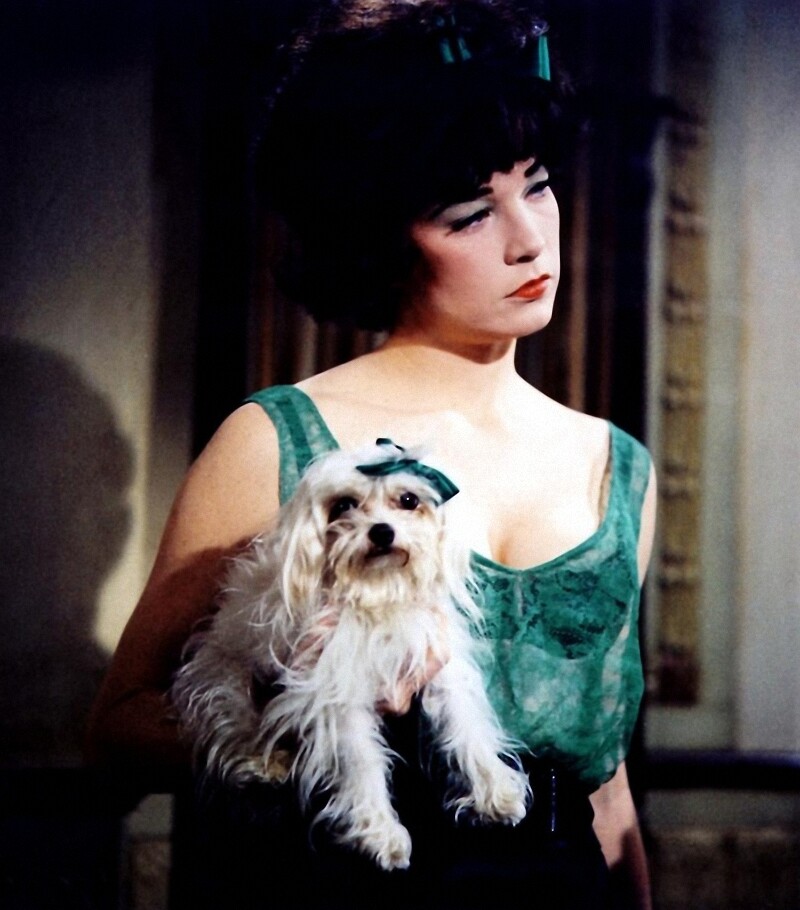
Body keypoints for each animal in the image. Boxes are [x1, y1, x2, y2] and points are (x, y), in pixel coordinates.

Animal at [171, 439, 529, 870]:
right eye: (344, 506)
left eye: (408, 500)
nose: (382, 531)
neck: (378, 595)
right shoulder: (337, 691)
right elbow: (361, 763)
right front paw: (379, 833)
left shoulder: (438, 671)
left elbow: (468, 731)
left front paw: (495, 792)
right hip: (224, 680)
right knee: (235, 727)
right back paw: (263, 762)